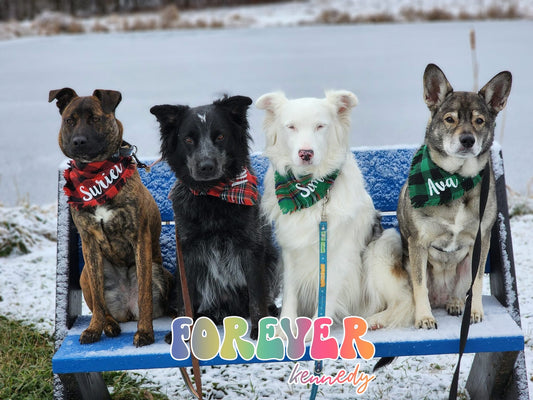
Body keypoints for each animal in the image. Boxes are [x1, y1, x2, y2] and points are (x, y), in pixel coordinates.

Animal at [49, 89, 171, 346]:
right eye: (69, 120)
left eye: (95, 118)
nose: (79, 141)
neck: (96, 175)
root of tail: (127, 310)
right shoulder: (89, 242)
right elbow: (97, 298)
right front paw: (95, 328)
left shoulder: (140, 239)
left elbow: (145, 295)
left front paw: (145, 332)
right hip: (85, 273)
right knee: (100, 305)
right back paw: (109, 324)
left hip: (158, 270)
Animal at [148, 95, 276, 340]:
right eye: (188, 139)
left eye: (220, 136)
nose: (206, 166)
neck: (212, 196)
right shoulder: (187, 252)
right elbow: (185, 301)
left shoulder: (251, 247)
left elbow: (257, 296)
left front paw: (259, 328)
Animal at [256, 90, 414, 332]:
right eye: (291, 127)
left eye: (320, 126)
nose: (306, 153)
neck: (309, 190)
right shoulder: (290, 248)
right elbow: (290, 290)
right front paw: (285, 327)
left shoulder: (339, 253)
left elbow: (328, 291)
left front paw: (315, 330)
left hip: (381, 246)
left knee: (405, 300)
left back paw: (376, 320)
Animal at [396, 65, 510, 328]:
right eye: (450, 119)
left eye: (479, 121)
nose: (467, 140)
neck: (456, 179)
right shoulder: (418, 243)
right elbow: (420, 286)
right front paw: (424, 317)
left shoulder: (482, 241)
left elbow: (477, 282)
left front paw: (475, 311)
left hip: (466, 262)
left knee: (461, 289)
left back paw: (456, 303)